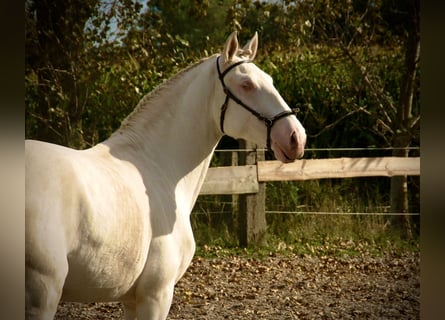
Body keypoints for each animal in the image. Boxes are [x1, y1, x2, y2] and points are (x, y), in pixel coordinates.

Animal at [25, 33, 306, 320]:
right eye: (246, 84)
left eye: (270, 80)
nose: (296, 137)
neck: (157, 166)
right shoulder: (156, 295)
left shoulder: (132, 300)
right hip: (44, 292)